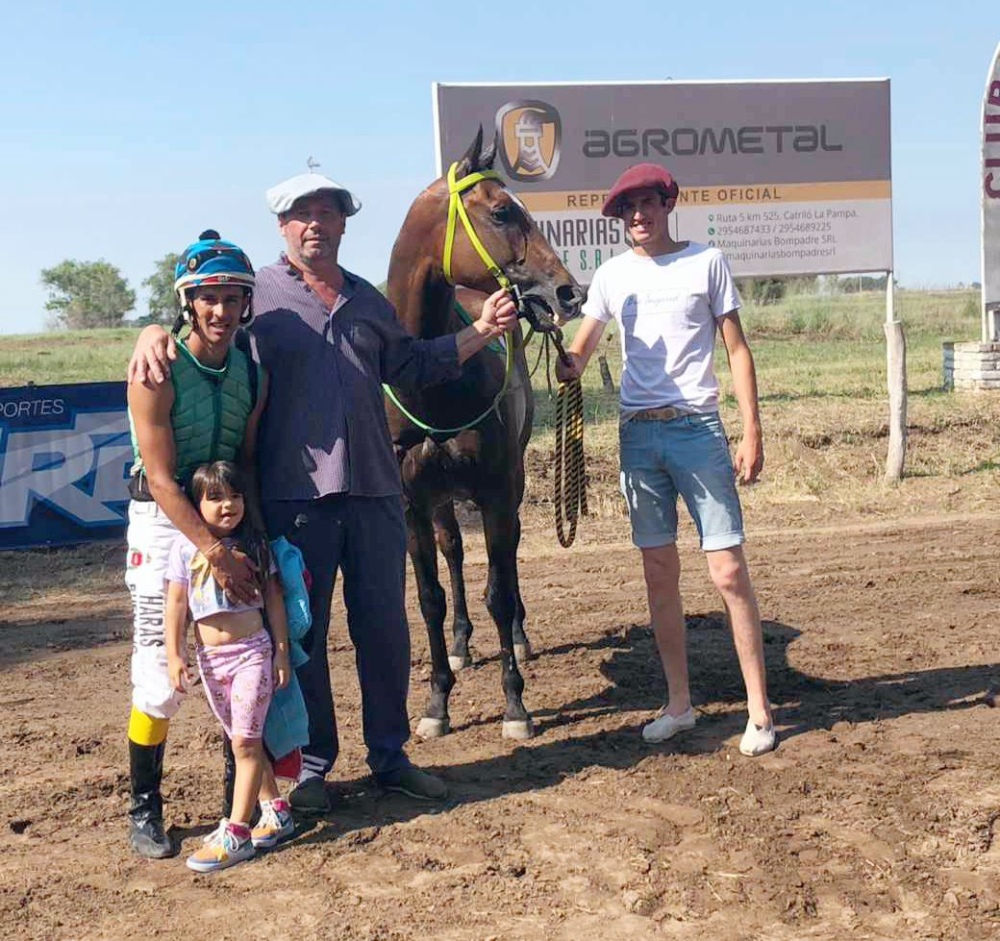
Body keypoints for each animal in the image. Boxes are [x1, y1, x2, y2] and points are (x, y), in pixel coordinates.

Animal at [384, 129, 584, 740]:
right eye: (501, 211)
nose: (569, 293)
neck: (432, 374)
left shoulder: (497, 490)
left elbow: (499, 588)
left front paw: (515, 705)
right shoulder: (413, 503)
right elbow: (429, 598)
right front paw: (436, 703)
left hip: (509, 486)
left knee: (510, 556)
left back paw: (517, 635)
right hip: (446, 500)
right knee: (453, 551)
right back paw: (461, 645)